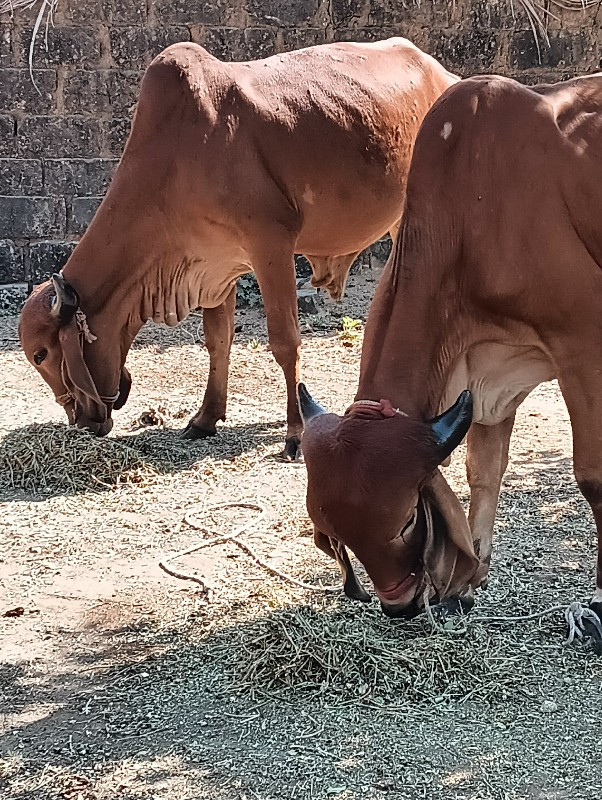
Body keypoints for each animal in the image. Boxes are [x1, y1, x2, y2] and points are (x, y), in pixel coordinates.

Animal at [17, 40, 454, 460]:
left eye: (41, 354)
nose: (80, 420)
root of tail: (442, 72)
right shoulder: (215, 266)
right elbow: (218, 341)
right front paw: (205, 417)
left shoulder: (270, 244)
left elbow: (285, 342)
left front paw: (295, 434)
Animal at [300, 70, 602, 636]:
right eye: (340, 539)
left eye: (406, 522)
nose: (398, 606)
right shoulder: (488, 380)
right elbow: (484, 472)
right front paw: (469, 583)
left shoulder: (584, 345)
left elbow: (592, 478)